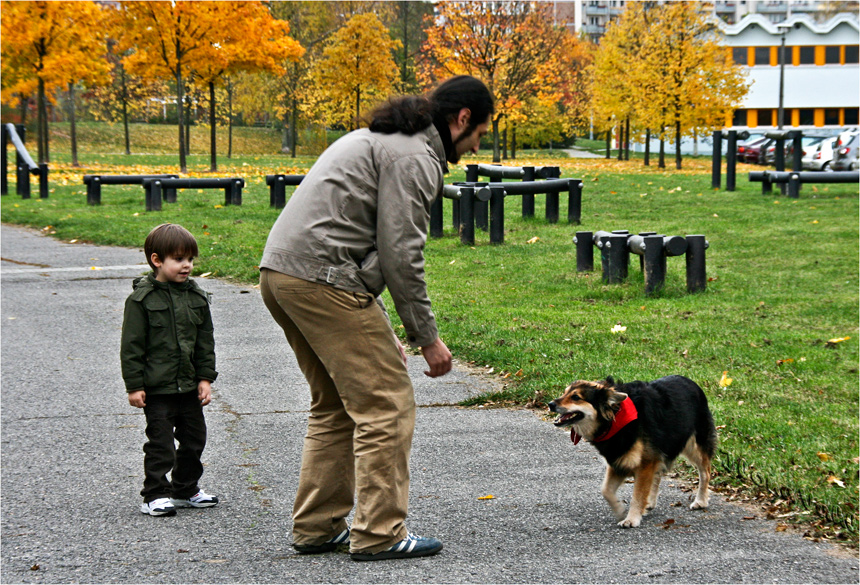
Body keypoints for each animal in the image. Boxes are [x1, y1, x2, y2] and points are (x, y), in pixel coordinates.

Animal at [552, 376, 720, 528]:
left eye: (576, 397)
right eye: (564, 392)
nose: (550, 404)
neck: (614, 416)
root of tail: (691, 382)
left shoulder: (644, 464)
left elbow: (637, 495)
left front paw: (631, 519)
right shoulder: (618, 459)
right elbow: (606, 490)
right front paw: (620, 509)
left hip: (694, 445)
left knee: (705, 472)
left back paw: (701, 501)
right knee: (657, 475)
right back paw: (650, 502)